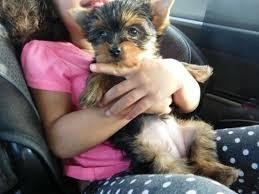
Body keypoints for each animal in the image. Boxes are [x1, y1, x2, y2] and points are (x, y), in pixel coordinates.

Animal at [72, 0, 239, 186]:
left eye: (133, 31)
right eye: (101, 33)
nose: (114, 50)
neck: (132, 66)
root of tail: (177, 152)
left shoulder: (156, 62)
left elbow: (176, 63)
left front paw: (200, 71)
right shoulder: (102, 65)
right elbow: (100, 72)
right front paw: (90, 92)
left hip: (198, 129)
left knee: (201, 154)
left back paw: (222, 172)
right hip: (154, 155)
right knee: (178, 171)